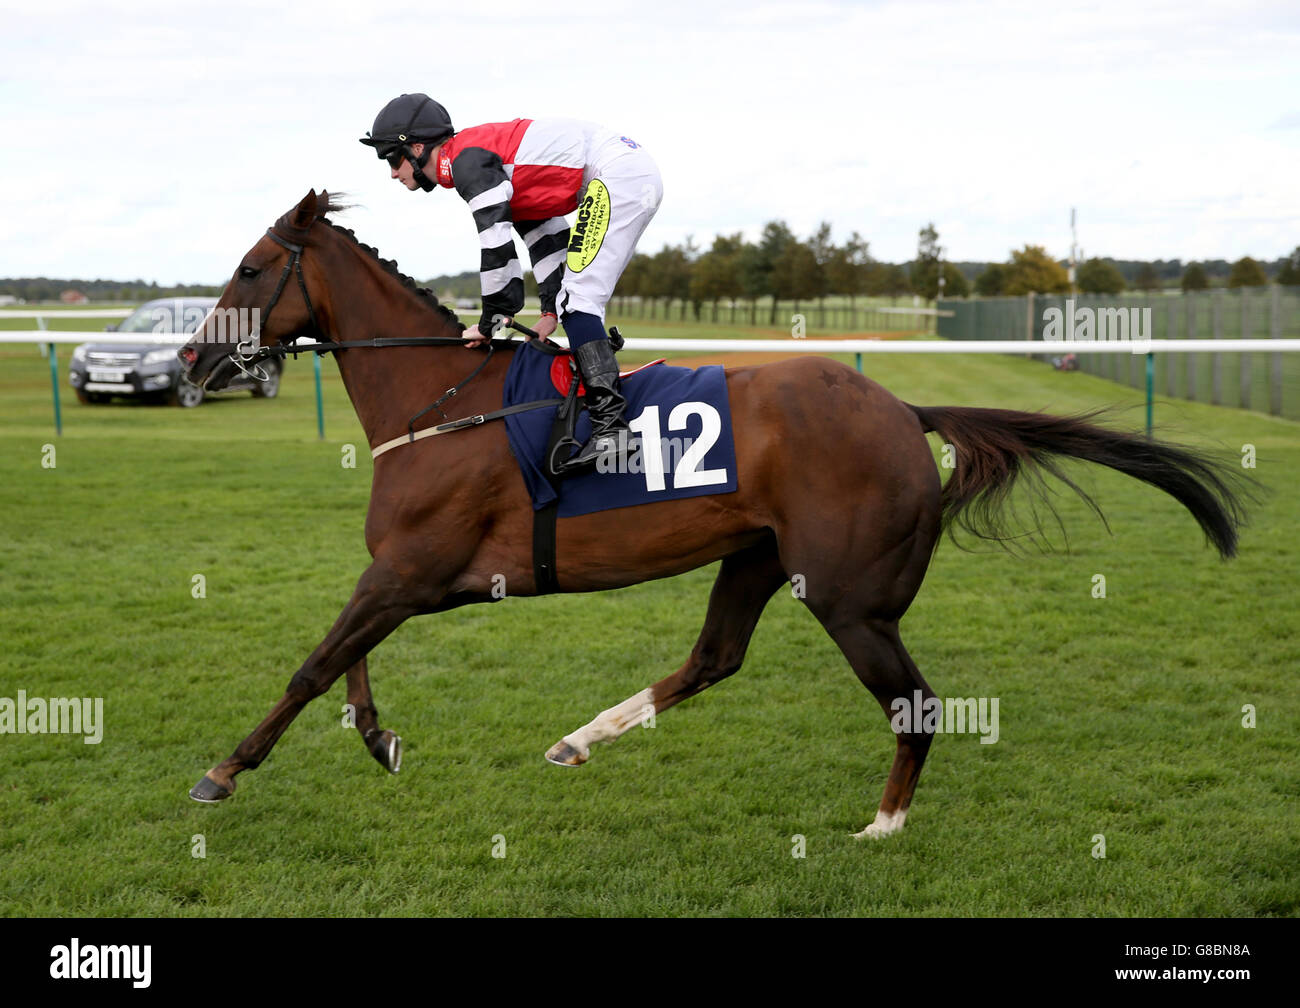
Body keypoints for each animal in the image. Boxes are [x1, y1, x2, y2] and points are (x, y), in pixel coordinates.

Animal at [178, 189, 1242, 837]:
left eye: (250, 267)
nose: (191, 357)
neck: (440, 400)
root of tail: (906, 409)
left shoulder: (413, 571)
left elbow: (314, 662)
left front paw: (224, 770)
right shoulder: (415, 577)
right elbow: (345, 661)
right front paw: (379, 739)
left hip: (851, 599)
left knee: (916, 703)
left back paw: (882, 824)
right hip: (759, 556)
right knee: (715, 658)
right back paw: (581, 737)